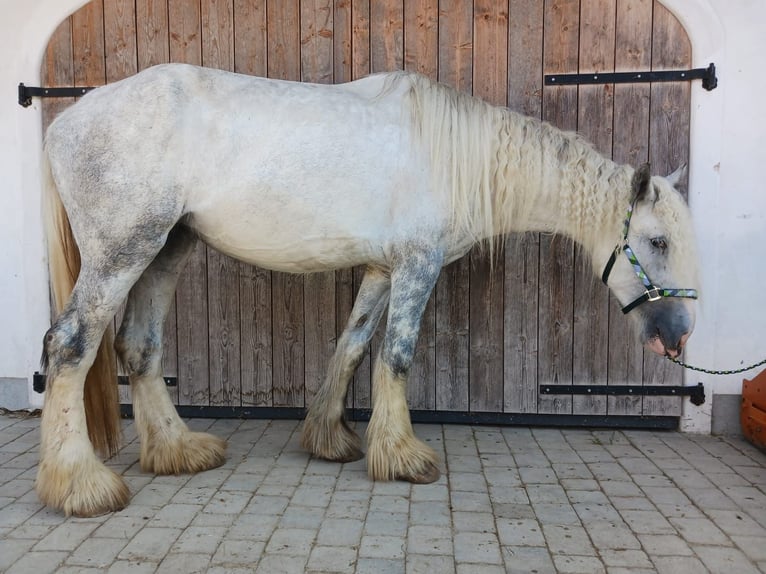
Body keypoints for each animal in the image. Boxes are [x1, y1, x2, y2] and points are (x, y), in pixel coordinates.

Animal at [36, 63, 699, 517]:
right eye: (658, 240)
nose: (677, 337)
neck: (454, 158)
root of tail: (67, 122)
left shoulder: (383, 271)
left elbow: (353, 345)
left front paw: (331, 440)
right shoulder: (417, 266)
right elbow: (396, 356)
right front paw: (403, 457)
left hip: (165, 249)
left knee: (139, 347)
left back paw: (177, 451)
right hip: (123, 252)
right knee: (70, 345)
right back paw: (81, 485)